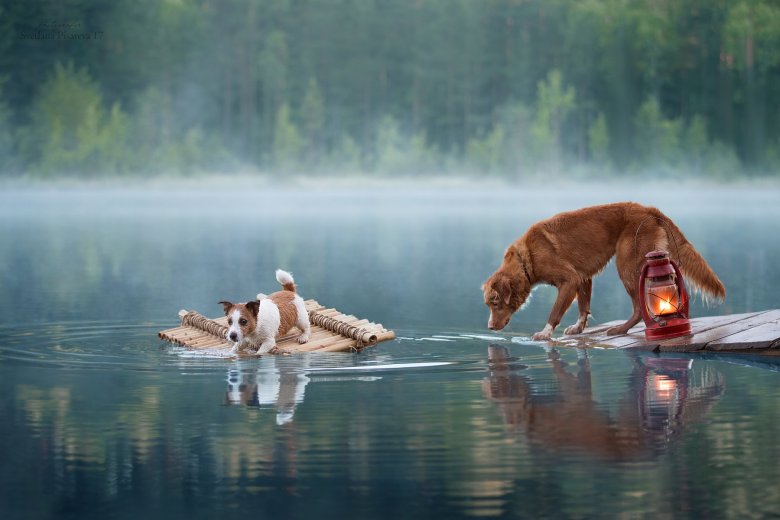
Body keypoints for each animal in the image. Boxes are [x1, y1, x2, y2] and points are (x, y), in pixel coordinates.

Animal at [482, 201, 724, 340]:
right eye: (489, 304)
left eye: (495, 302)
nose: (490, 327)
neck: (526, 258)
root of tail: (648, 209)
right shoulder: (583, 277)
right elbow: (583, 307)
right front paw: (578, 328)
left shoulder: (569, 279)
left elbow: (555, 311)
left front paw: (545, 333)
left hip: (627, 266)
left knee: (639, 307)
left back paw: (621, 329)